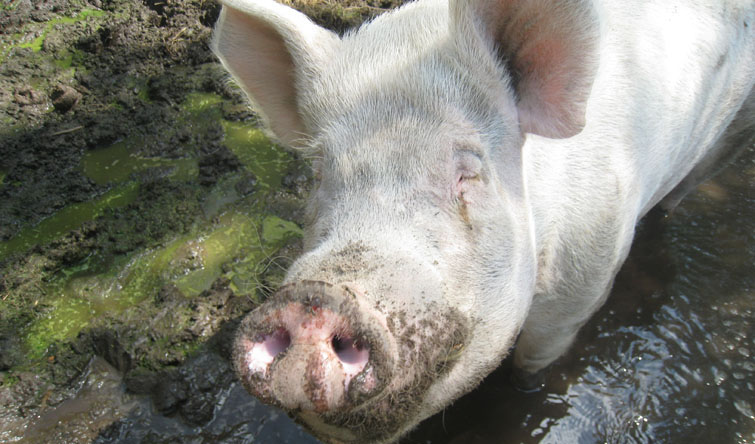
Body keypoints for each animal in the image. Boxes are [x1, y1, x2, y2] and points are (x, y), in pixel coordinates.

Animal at [211, 0, 755, 442]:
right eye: (320, 172)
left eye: (469, 169)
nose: (315, 299)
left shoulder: (582, 287)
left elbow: (530, 373)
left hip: (734, 129)